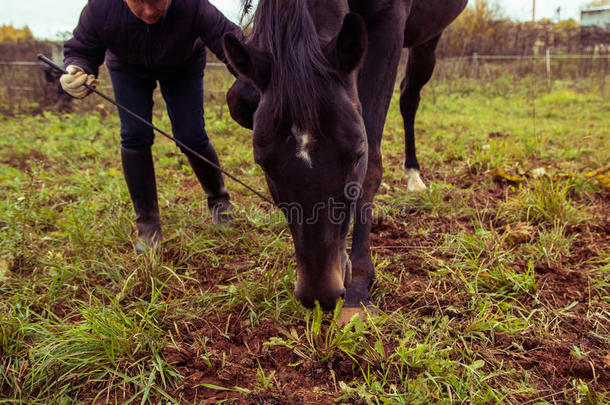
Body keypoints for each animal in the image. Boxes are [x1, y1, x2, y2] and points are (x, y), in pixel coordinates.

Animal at [223, 0, 466, 322]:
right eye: (263, 164)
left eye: (356, 155)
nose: (320, 294)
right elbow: (240, 98)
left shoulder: (389, 23)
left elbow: (373, 161)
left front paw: (359, 286)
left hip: (428, 38)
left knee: (409, 96)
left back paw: (413, 175)